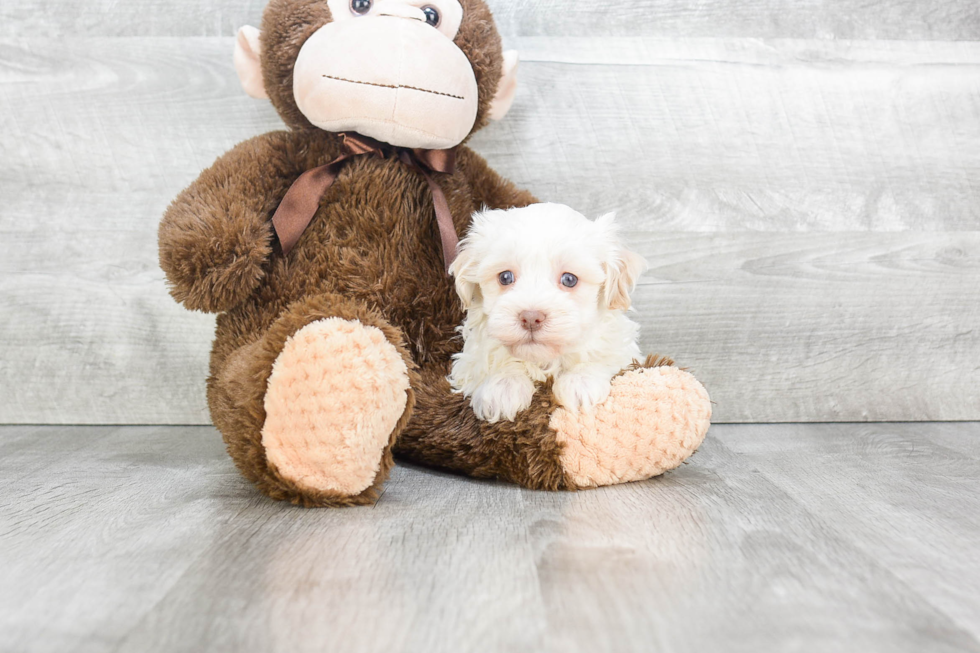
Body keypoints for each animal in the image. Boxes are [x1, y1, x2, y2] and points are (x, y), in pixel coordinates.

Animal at [452, 204, 652, 422]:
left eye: (569, 279)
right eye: (505, 277)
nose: (531, 317)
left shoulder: (623, 352)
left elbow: (604, 356)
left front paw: (581, 381)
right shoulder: (470, 360)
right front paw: (503, 385)